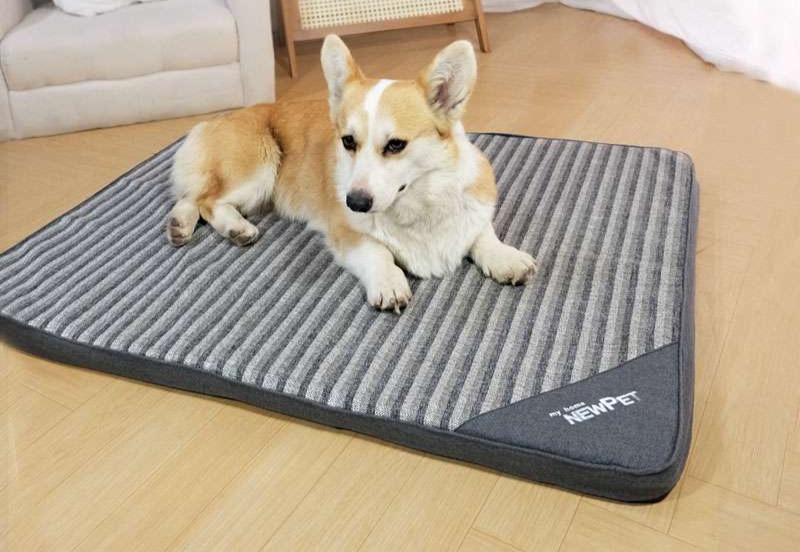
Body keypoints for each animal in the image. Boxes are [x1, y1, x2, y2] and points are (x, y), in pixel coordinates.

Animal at [166, 35, 537, 312]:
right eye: (347, 141)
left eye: (396, 145)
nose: (355, 203)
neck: (417, 203)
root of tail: (214, 120)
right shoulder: (345, 233)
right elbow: (378, 251)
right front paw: (389, 283)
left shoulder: (473, 210)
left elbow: (482, 234)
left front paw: (506, 258)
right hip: (257, 170)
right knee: (206, 198)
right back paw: (235, 228)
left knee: (190, 196)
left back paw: (180, 226)